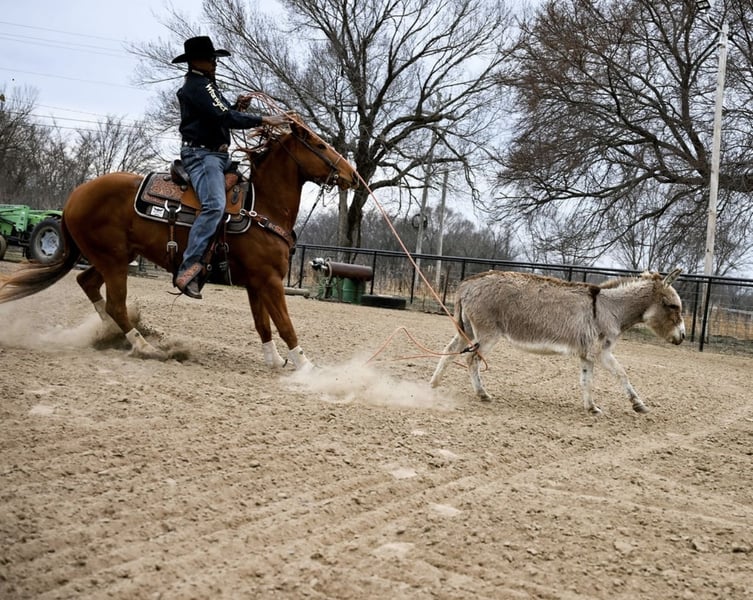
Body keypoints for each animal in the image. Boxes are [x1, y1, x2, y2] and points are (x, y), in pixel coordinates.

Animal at [0, 119, 359, 368]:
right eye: (319, 144)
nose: (352, 174)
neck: (262, 207)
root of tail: (76, 195)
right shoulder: (269, 280)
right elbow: (285, 324)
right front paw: (306, 367)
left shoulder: (256, 283)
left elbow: (263, 325)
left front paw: (274, 360)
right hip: (113, 261)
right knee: (115, 303)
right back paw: (144, 346)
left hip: (111, 257)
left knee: (87, 283)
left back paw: (113, 333)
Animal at [430, 269, 685, 414]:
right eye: (673, 305)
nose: (682, 337)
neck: (609, 308)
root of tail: (467, 284)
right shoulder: (599, 351)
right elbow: (609, 376)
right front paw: (628, 405)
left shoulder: (593, 353)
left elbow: (597, 378)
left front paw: (596, 407)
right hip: (488, 334)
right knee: (472, 359)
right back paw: (482, 394)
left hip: (466, 329)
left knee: (449, 351)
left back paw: (433, 384)